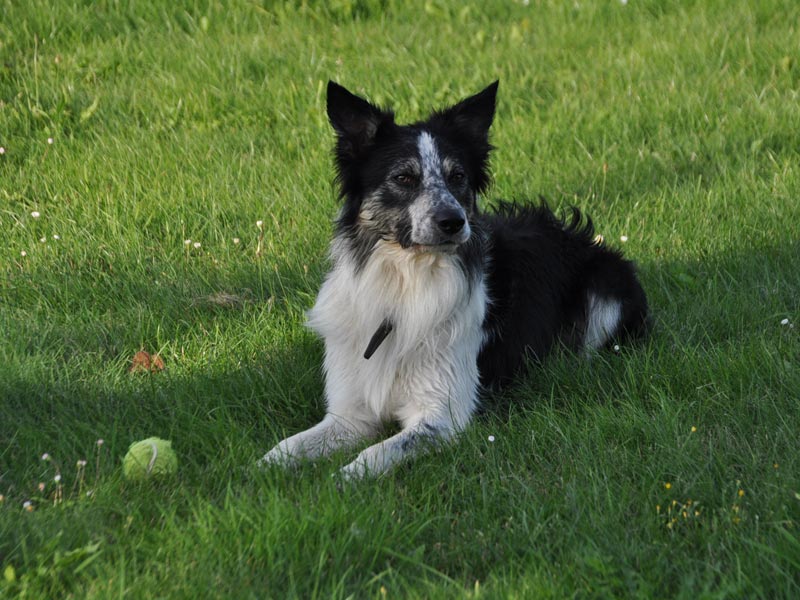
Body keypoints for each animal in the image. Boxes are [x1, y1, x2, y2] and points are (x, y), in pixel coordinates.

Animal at [260, 82, 648, 480]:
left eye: (457, 177)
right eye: (403, 178)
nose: (453, 221)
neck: (406, 283)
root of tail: (576, 234)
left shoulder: (441, 417)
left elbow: (374, 456)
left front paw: (339, 479)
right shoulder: (350, 413)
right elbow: (286, 447)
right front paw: (259, 475)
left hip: (606, 289)